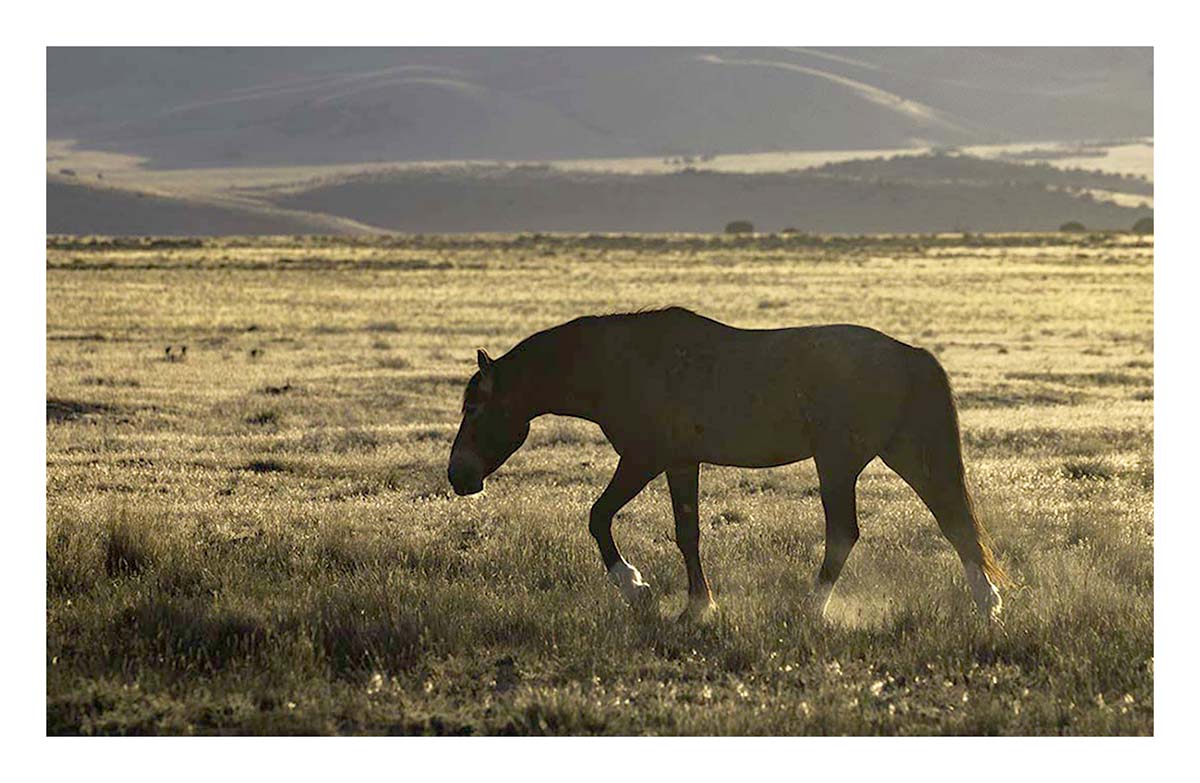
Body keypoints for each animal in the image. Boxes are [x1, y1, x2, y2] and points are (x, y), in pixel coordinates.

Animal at [447, 307, 1005, 622]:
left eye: (475, 408)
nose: (458, 475)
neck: (620, 364)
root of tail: (910, 357)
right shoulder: (679, 462)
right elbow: (687, 532)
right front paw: (698, 604)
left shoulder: (643, 458)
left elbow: (598, 517)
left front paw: (636, 589)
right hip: (903, 451)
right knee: (953, 520)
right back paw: (987, 602)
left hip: (840, 461)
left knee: (845, 532)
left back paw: (809, 610)